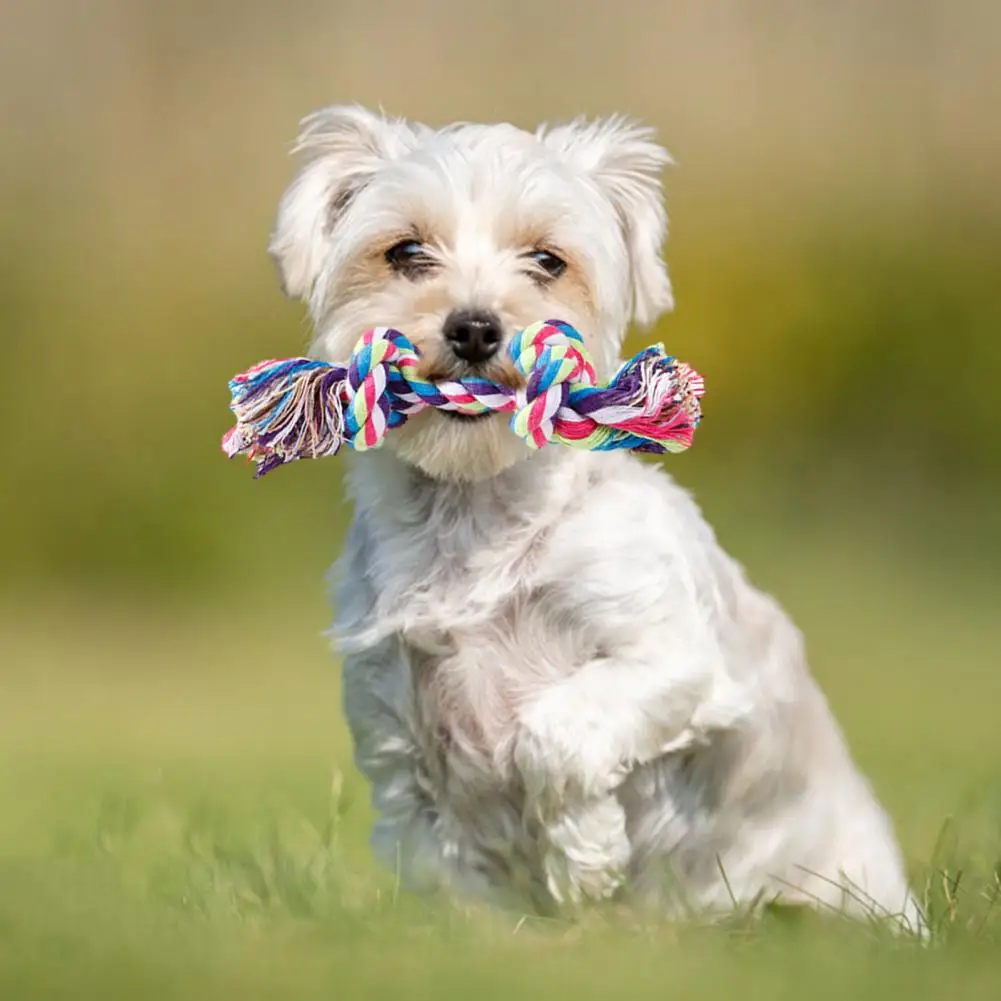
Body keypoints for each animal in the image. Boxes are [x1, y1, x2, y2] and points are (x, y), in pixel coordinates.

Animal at [266, 105, 920, 932]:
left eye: (547, 260)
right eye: (405, 251)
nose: (474, 326)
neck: (471, 523)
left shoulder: (671, 659)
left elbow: (552, 734)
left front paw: (583, 855)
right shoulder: (400, 752)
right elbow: (455, 875)